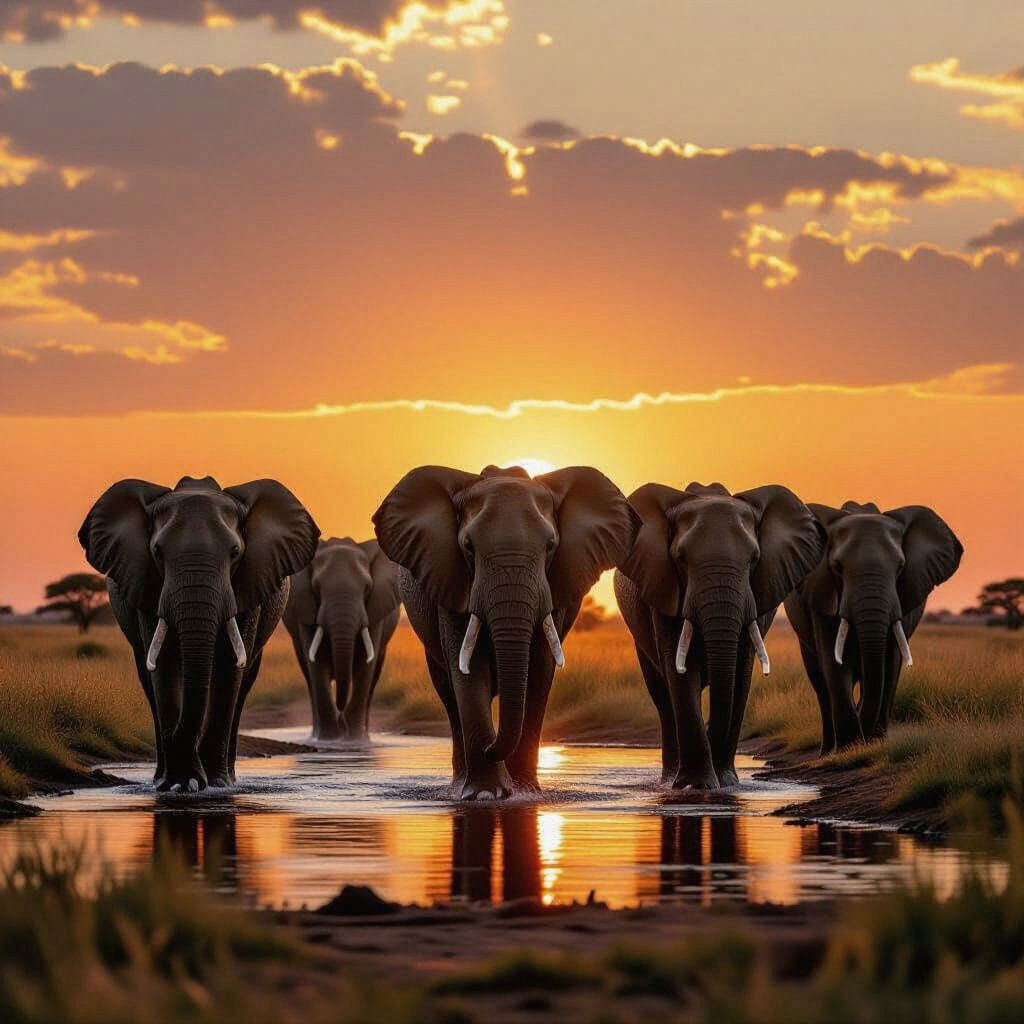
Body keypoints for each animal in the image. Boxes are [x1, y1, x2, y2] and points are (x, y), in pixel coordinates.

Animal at [78, 475, 320, 792]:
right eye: (157, 552)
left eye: (235, 553)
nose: (196, 777)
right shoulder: (146, 584)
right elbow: (164, 665)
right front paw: (179, 783)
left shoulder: (249, 584)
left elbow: (229, 667)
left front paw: (213, 784)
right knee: (148, 679)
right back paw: (160, 777)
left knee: (242, 686)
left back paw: (228, 777)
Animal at [283, 537, 401, 742]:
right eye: (316, 588)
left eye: (367, 588)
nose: (341, 719)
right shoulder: (305, 608)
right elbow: (317, 664)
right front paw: (329, 740)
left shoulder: (375, 610)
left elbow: (365, 666)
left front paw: (354, 741)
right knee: (308, 675)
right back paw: (316, 735)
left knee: (374, 675)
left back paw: (364, 735)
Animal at [373, 464, 639, 800]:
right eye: (468, 548)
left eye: (550, 547)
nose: (490, 747)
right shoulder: (452, 579)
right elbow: (469, 670)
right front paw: (486, 794)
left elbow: (539, 670)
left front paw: (526, 793)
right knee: (448, 693)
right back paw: (459, 785)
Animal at [615, 482, 824, 790]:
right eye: (681, 559)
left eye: (754, 559)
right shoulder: (664, 588)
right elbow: (680, 669)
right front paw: (697, 785)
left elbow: (740, 672)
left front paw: (726, 783)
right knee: (663, 697)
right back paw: (669, 781)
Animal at [785, 501, 963, 753]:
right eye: (837, 567)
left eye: (900, 567)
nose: (865, 736)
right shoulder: (821, 595)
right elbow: (834, 663)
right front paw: (849, 748)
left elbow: (889, 663)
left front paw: (870, 742)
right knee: (820, 680)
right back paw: (828, 750)